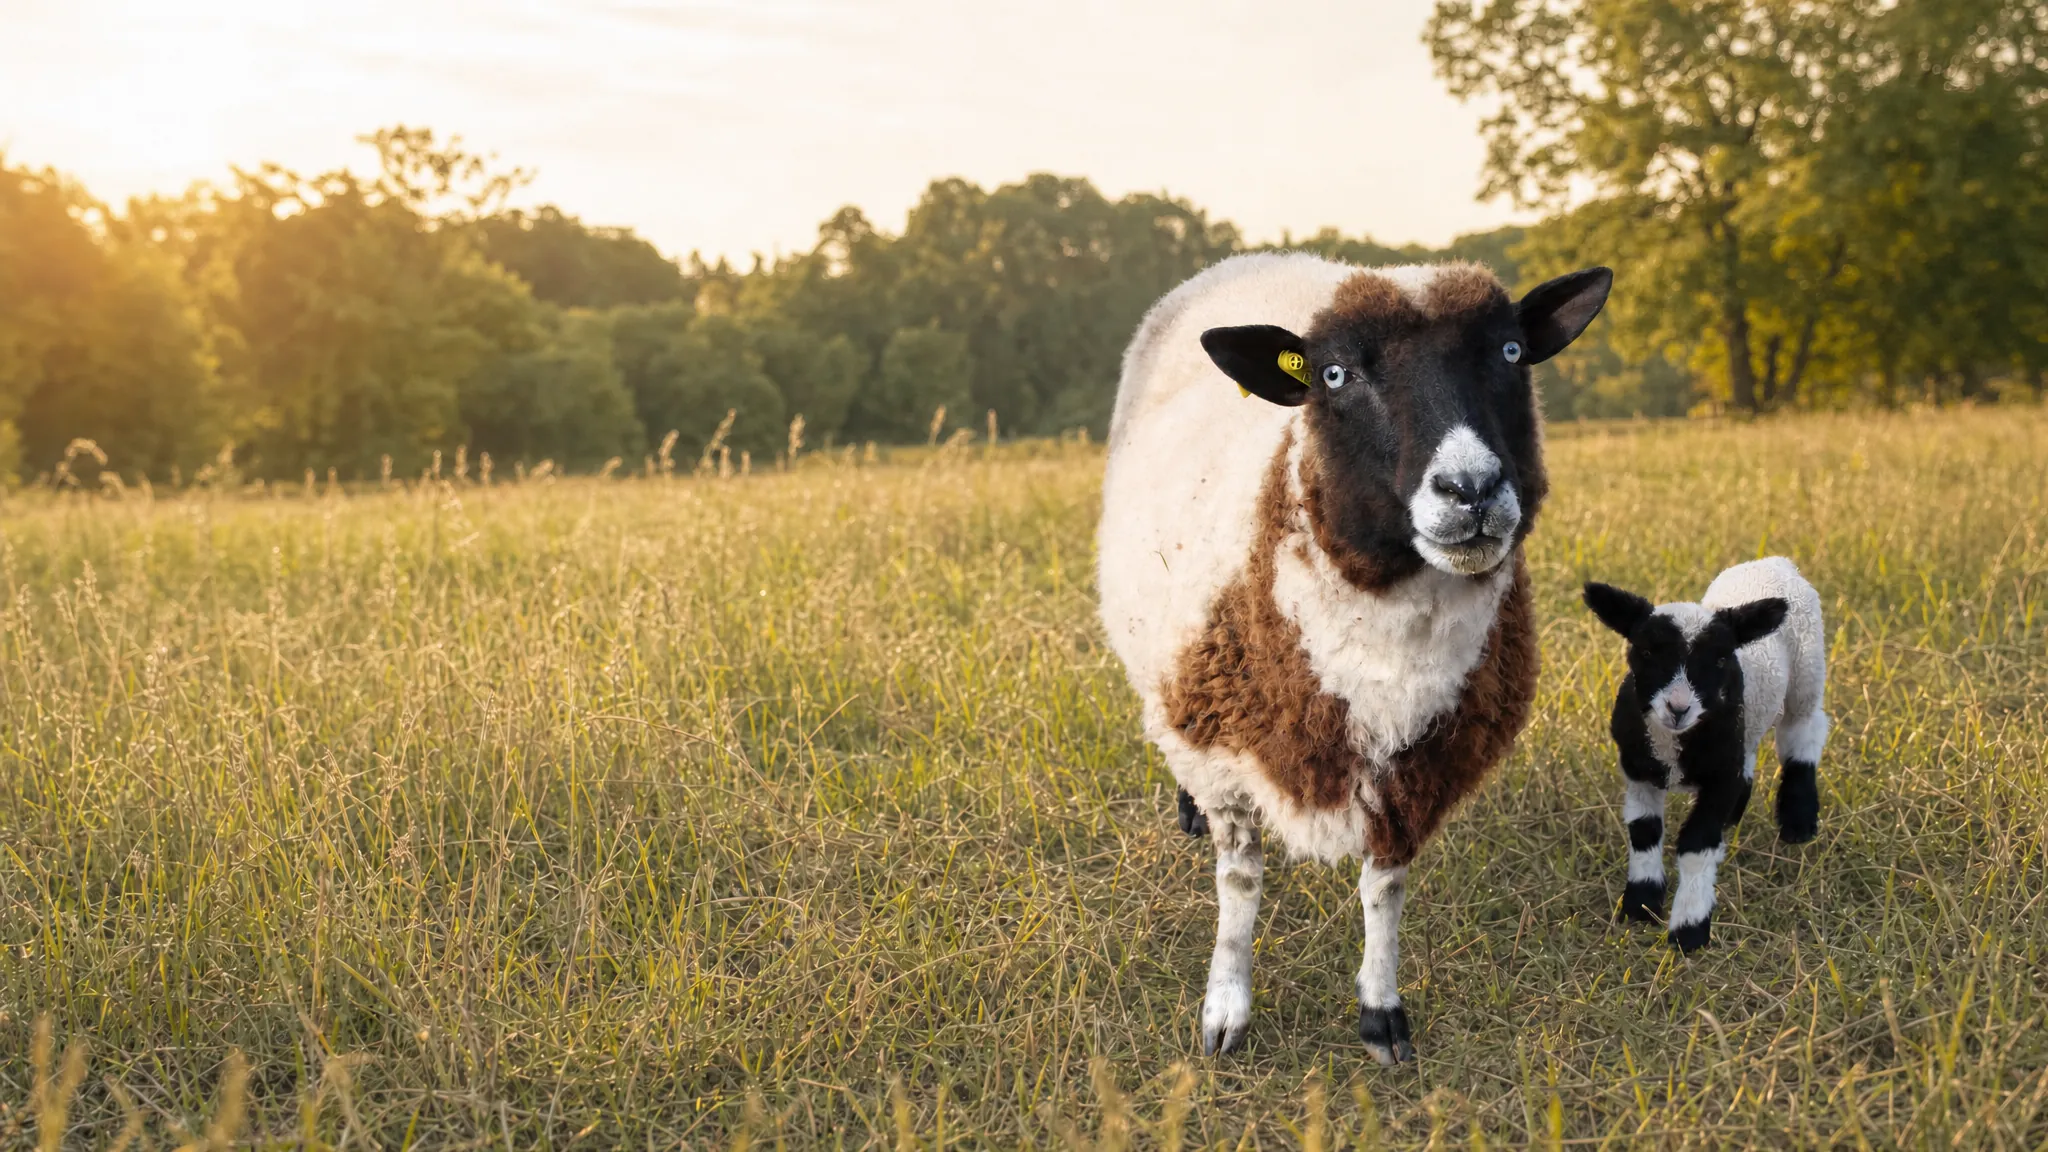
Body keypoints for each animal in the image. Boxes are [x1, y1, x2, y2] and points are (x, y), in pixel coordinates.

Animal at [1097, 252, 1612, 1062]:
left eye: (1511, 351)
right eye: (1334, 376)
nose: (1471, 489)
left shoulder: (1423, 759)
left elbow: (1385, 888)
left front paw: (1381, 1011)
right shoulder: (1217, 742)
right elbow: (1239, 886)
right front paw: (1225, 1009)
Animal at [1581, 557, 1828, 952]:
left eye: (1721, 659)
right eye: (1645, 652)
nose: (1678, 708)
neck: (1674, 743)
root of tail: (1775, 562)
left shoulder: (1718, 780)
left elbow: (1696, 845)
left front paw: (1689, 928)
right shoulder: (1638, 770)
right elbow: (1644, 832)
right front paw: (1640, 904)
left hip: (1807, 670)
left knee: (1803, 732)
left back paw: (1798, 821)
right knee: (1750, 754)